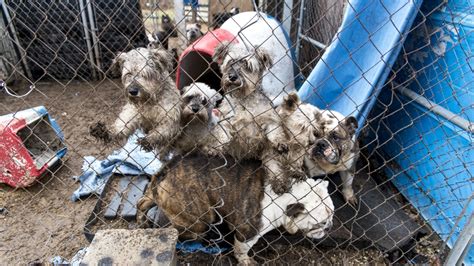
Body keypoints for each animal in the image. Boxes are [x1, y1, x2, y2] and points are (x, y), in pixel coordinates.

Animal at [143, 154, 336, 264]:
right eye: (321, 223)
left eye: (331, 217)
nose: (329, 227)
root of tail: (168, 170)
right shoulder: (248, 233)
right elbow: (241, 249)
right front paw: (245, 261)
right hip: (196, 222)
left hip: (155, 191)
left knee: (143, 201)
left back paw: (142, 219)